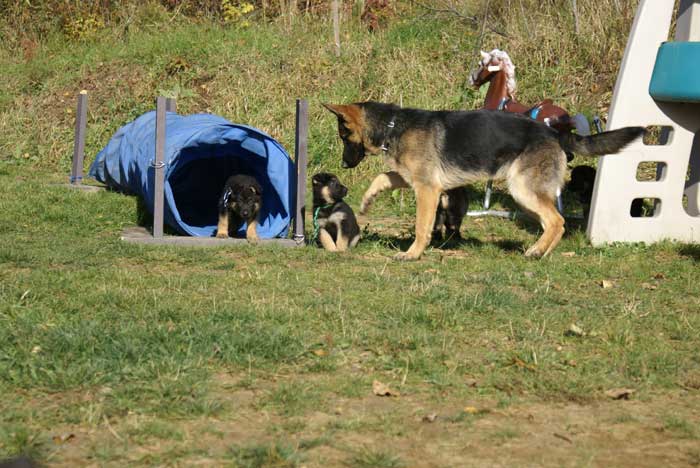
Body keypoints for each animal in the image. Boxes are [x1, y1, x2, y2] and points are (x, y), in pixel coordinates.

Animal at [326, 101, 644, 260]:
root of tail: (555, 133)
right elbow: (383, 177)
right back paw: (542, 252)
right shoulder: (415, 180)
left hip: (522, 191)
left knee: (557, 221)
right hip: (525, 198)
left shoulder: (427, 189)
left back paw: (536, 251)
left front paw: (413, 254)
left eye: (343, 135)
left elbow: (421, 227)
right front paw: (367, 200)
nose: (342, 164)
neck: (394, 125)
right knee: (555, 224)